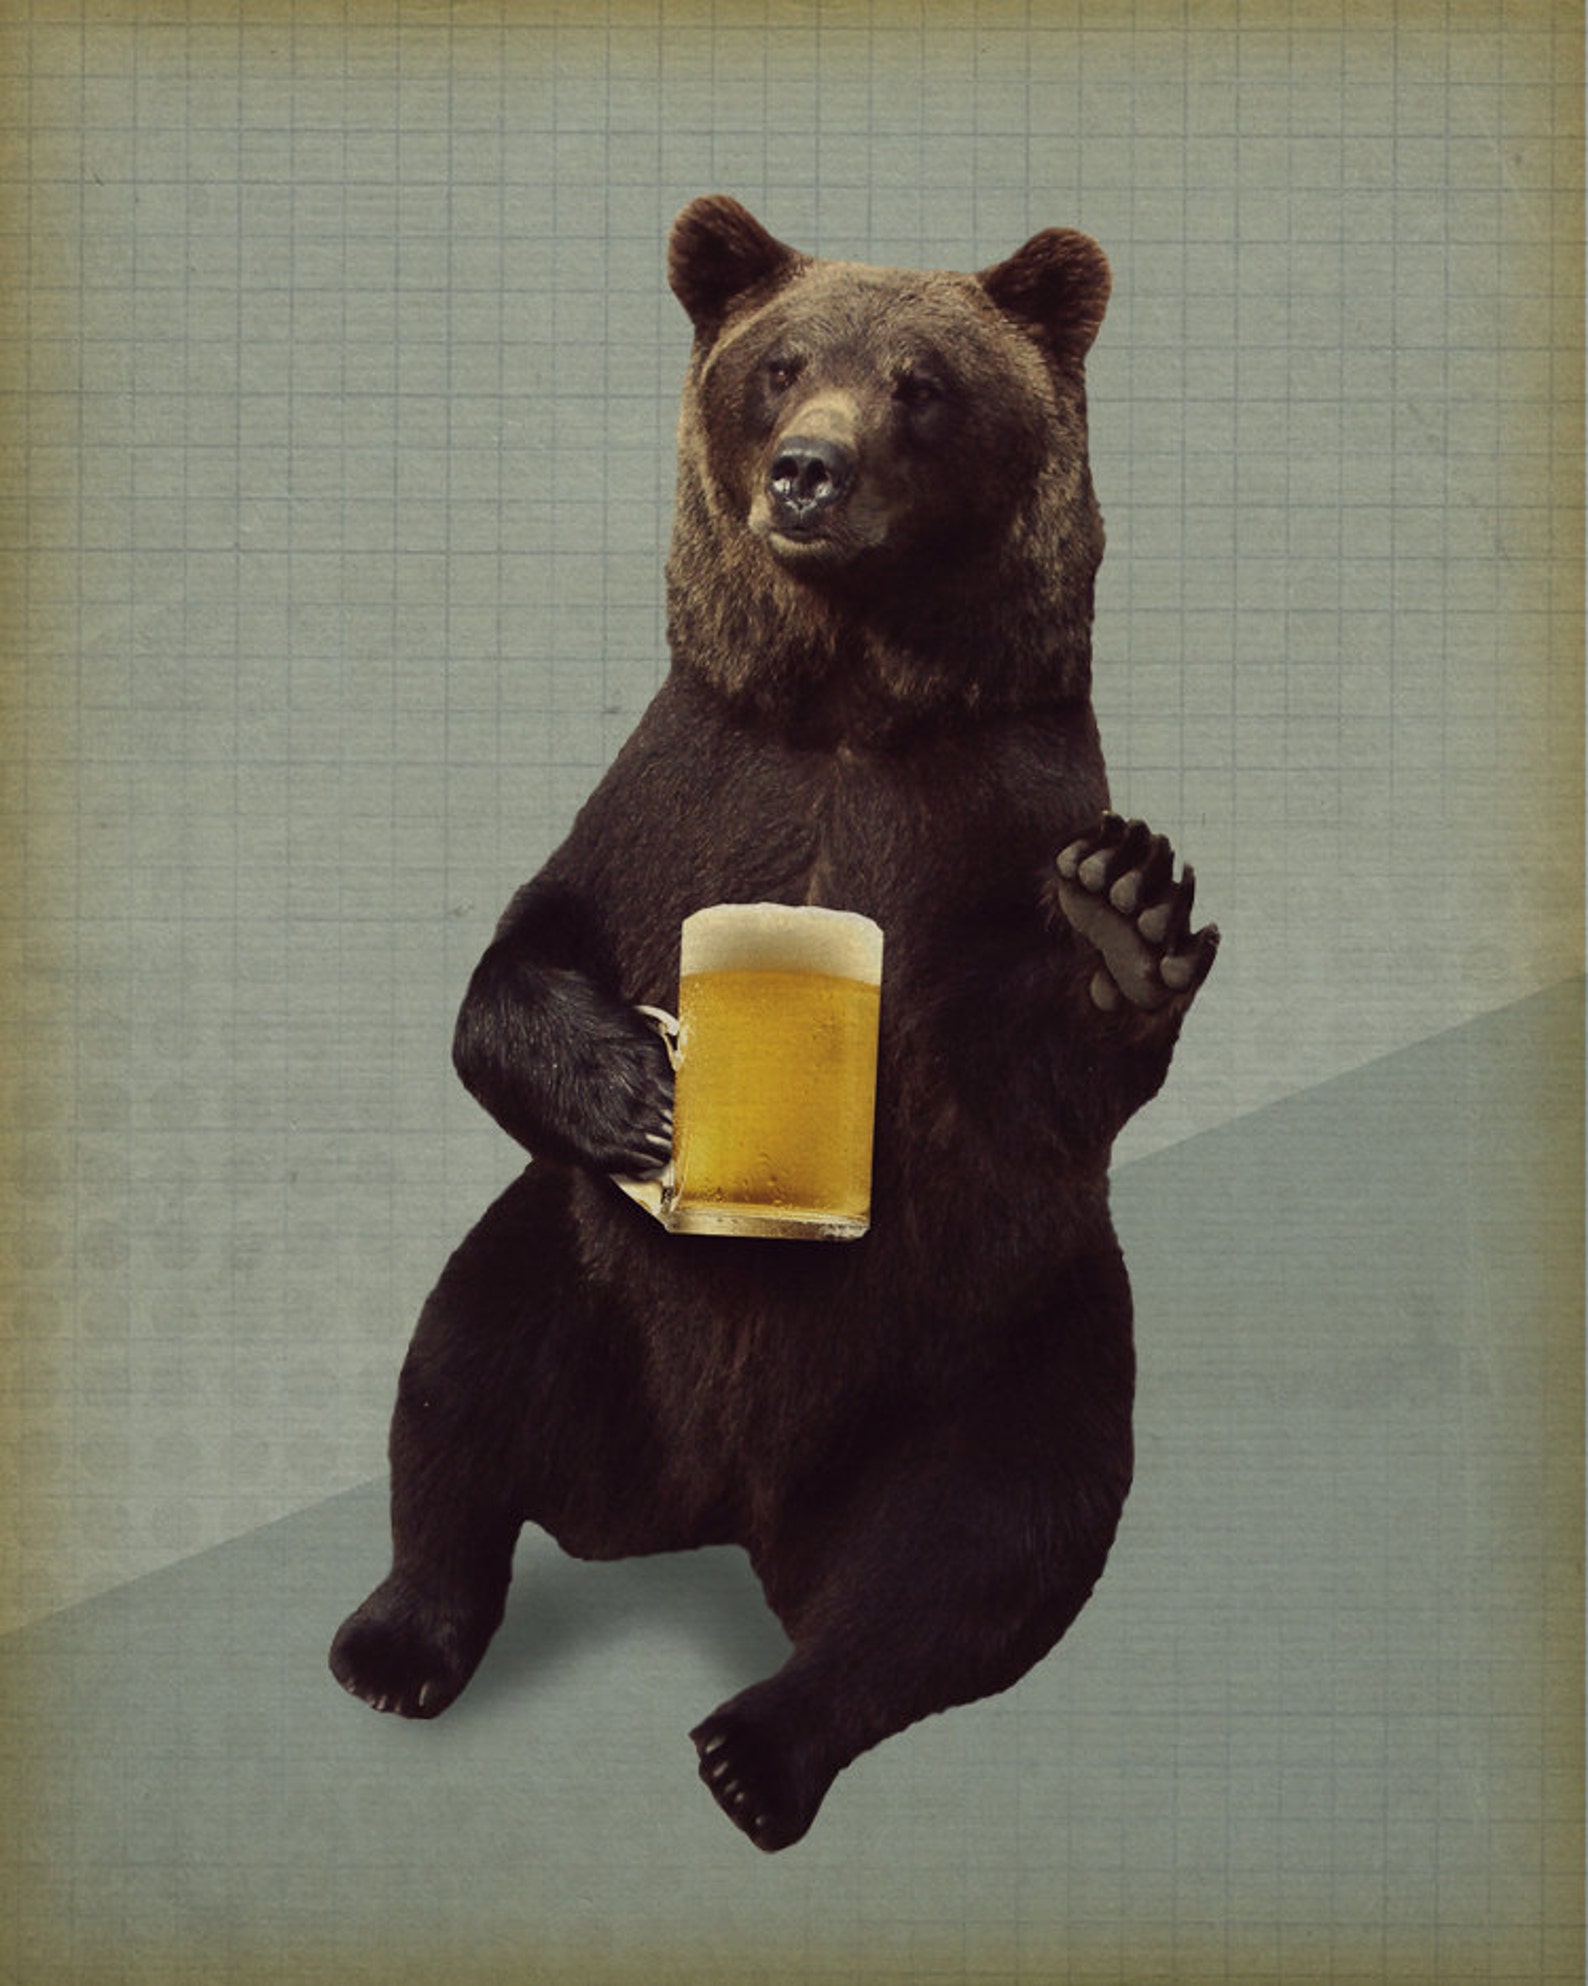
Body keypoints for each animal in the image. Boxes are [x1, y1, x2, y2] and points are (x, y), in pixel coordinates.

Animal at [329, 194, 1218, 1853]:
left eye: (923, 382)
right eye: (782, 363)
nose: (810, 468)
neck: (852, 702)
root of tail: (713, 1499)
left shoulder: (990, 817)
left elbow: (1037, 1076)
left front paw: (1120, 918)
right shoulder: (676, 795)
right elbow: (518, 960)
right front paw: (633, 1088)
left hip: (1009, 1341)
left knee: (976, 1544)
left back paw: (762, 1744)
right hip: (573, 1276)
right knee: (461, 1375)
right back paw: (397, 1637)